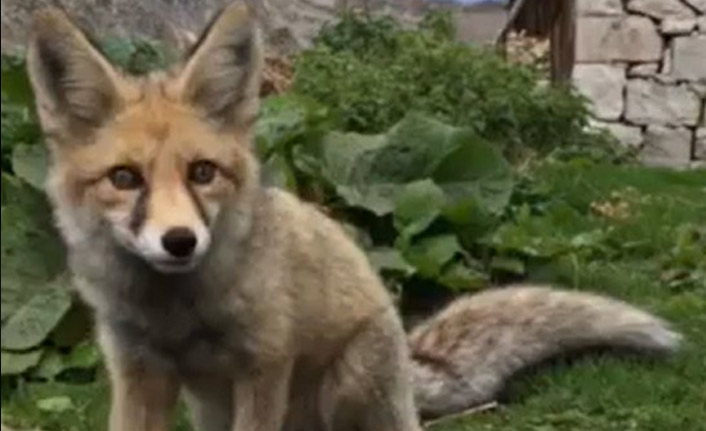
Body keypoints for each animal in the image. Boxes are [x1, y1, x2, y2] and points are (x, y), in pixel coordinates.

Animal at [28, 3, 680, 431]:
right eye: (125, 179)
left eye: (202, 172)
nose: (180, 241)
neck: (177, 316)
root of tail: (410, 360)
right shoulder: (139, 374)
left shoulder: (263, 367)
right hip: (212, 406)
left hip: (344, 386)